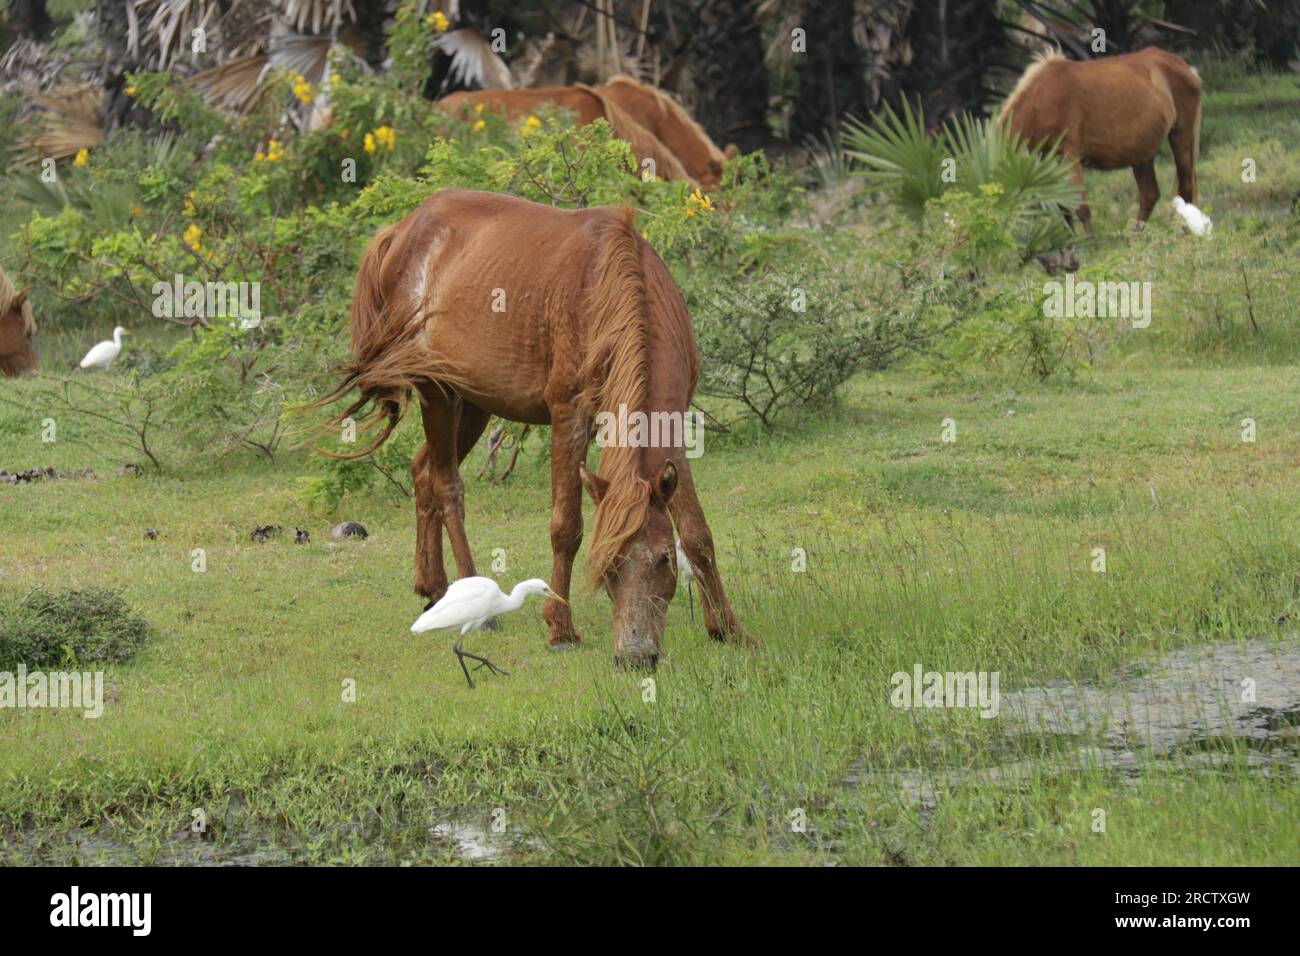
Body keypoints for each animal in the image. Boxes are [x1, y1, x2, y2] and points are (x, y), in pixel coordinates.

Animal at [308, 189, 747, 668]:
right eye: (607, 568)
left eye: (665, 559)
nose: (634, 656)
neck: (613, 286)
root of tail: (402, 230)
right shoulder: (568, 415)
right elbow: (566, 527)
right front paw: (560, 627)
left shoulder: (673, 428)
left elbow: (696, 531)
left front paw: (727, 627)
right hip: (435, 392)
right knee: (446, 485)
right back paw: (475, 599)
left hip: (473, 402)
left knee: (422, 470)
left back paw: (435, 588)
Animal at [999, 47, 1202, 234]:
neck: (1041, 101)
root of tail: (1186, 67)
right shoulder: (1048, 161)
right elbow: (1064, 209)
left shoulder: (1069, 156)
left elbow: (1081, 209)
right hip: (1142, 154)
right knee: (1149, 195)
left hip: (1182, 138)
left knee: (1186, 191)